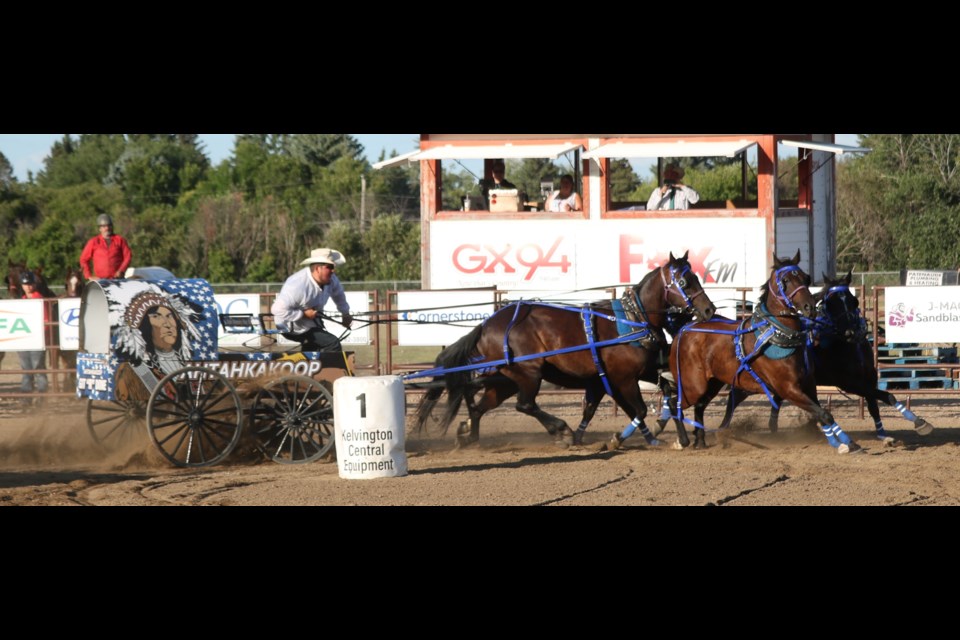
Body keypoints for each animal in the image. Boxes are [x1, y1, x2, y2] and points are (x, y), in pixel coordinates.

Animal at [416, 250, 716, 444]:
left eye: (698, 278)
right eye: (685, 281)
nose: (709, 309)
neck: (631, 319)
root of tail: (487, 324)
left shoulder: (630, 374)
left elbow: (664, 395)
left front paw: (674, 437)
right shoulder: (622, 378)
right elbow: (639, 410)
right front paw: (619, 438)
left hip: (505, 380)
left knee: (480, 407)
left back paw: (468, 434)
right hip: (529, 373)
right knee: (525, 405)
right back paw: (561, 431)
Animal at [668, 252, 864, 452]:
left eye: (806, 278)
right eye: (785, 280)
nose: (809, 307)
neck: (779, 335)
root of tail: (683, 330)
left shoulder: (808, 385)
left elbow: (821, 413)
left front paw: (845, 442)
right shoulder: (787, 389)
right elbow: (823, 414)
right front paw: (843, 443)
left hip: (712, 383)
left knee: (698, 405)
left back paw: (700, 441)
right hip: (693, 385)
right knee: (674, 403)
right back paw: (682, 440)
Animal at [768, 272, 932, 444]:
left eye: (854, 300)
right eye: (830, 303)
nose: (851, 332)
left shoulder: (869, 377)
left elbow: (877, 404)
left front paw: (884, 433)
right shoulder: (848, 383)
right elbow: (884, 396)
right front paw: (919, 423)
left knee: (778, 398)